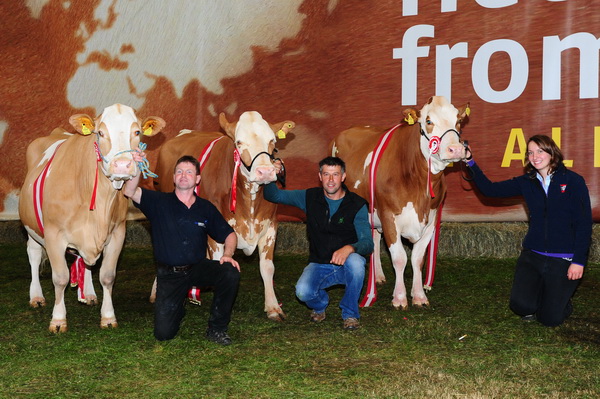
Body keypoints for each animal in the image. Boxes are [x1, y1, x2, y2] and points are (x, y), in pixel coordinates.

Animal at [19, 102, 165, 332]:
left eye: (137, 132)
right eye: (100, 133)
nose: (122, 165)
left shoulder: (117, 232)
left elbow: (107, 276)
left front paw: (108, 316)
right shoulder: (53, 234)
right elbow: (60, 278)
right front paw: (58, 320)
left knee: (85, 261)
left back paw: (87, 293)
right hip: (31, 227)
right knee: (33, 255)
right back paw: (36, 297)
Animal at [151, 110, 294, 322]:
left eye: (272, 141)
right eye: (239, 142)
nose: (266, 172)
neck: (249, 202)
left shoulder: (270, 226)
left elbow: (267, 268)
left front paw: (273, 307)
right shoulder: (216, 229)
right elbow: (220, 262)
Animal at [330, 96, 472, 310]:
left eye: (458, 121)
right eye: (428, 121)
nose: (455, 149)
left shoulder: (431, 219)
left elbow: (418, 259)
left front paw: (419, 295)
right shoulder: (389, 216)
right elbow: (399, 258)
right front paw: (399, 298)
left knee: (373, 238)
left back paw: (378, 276)